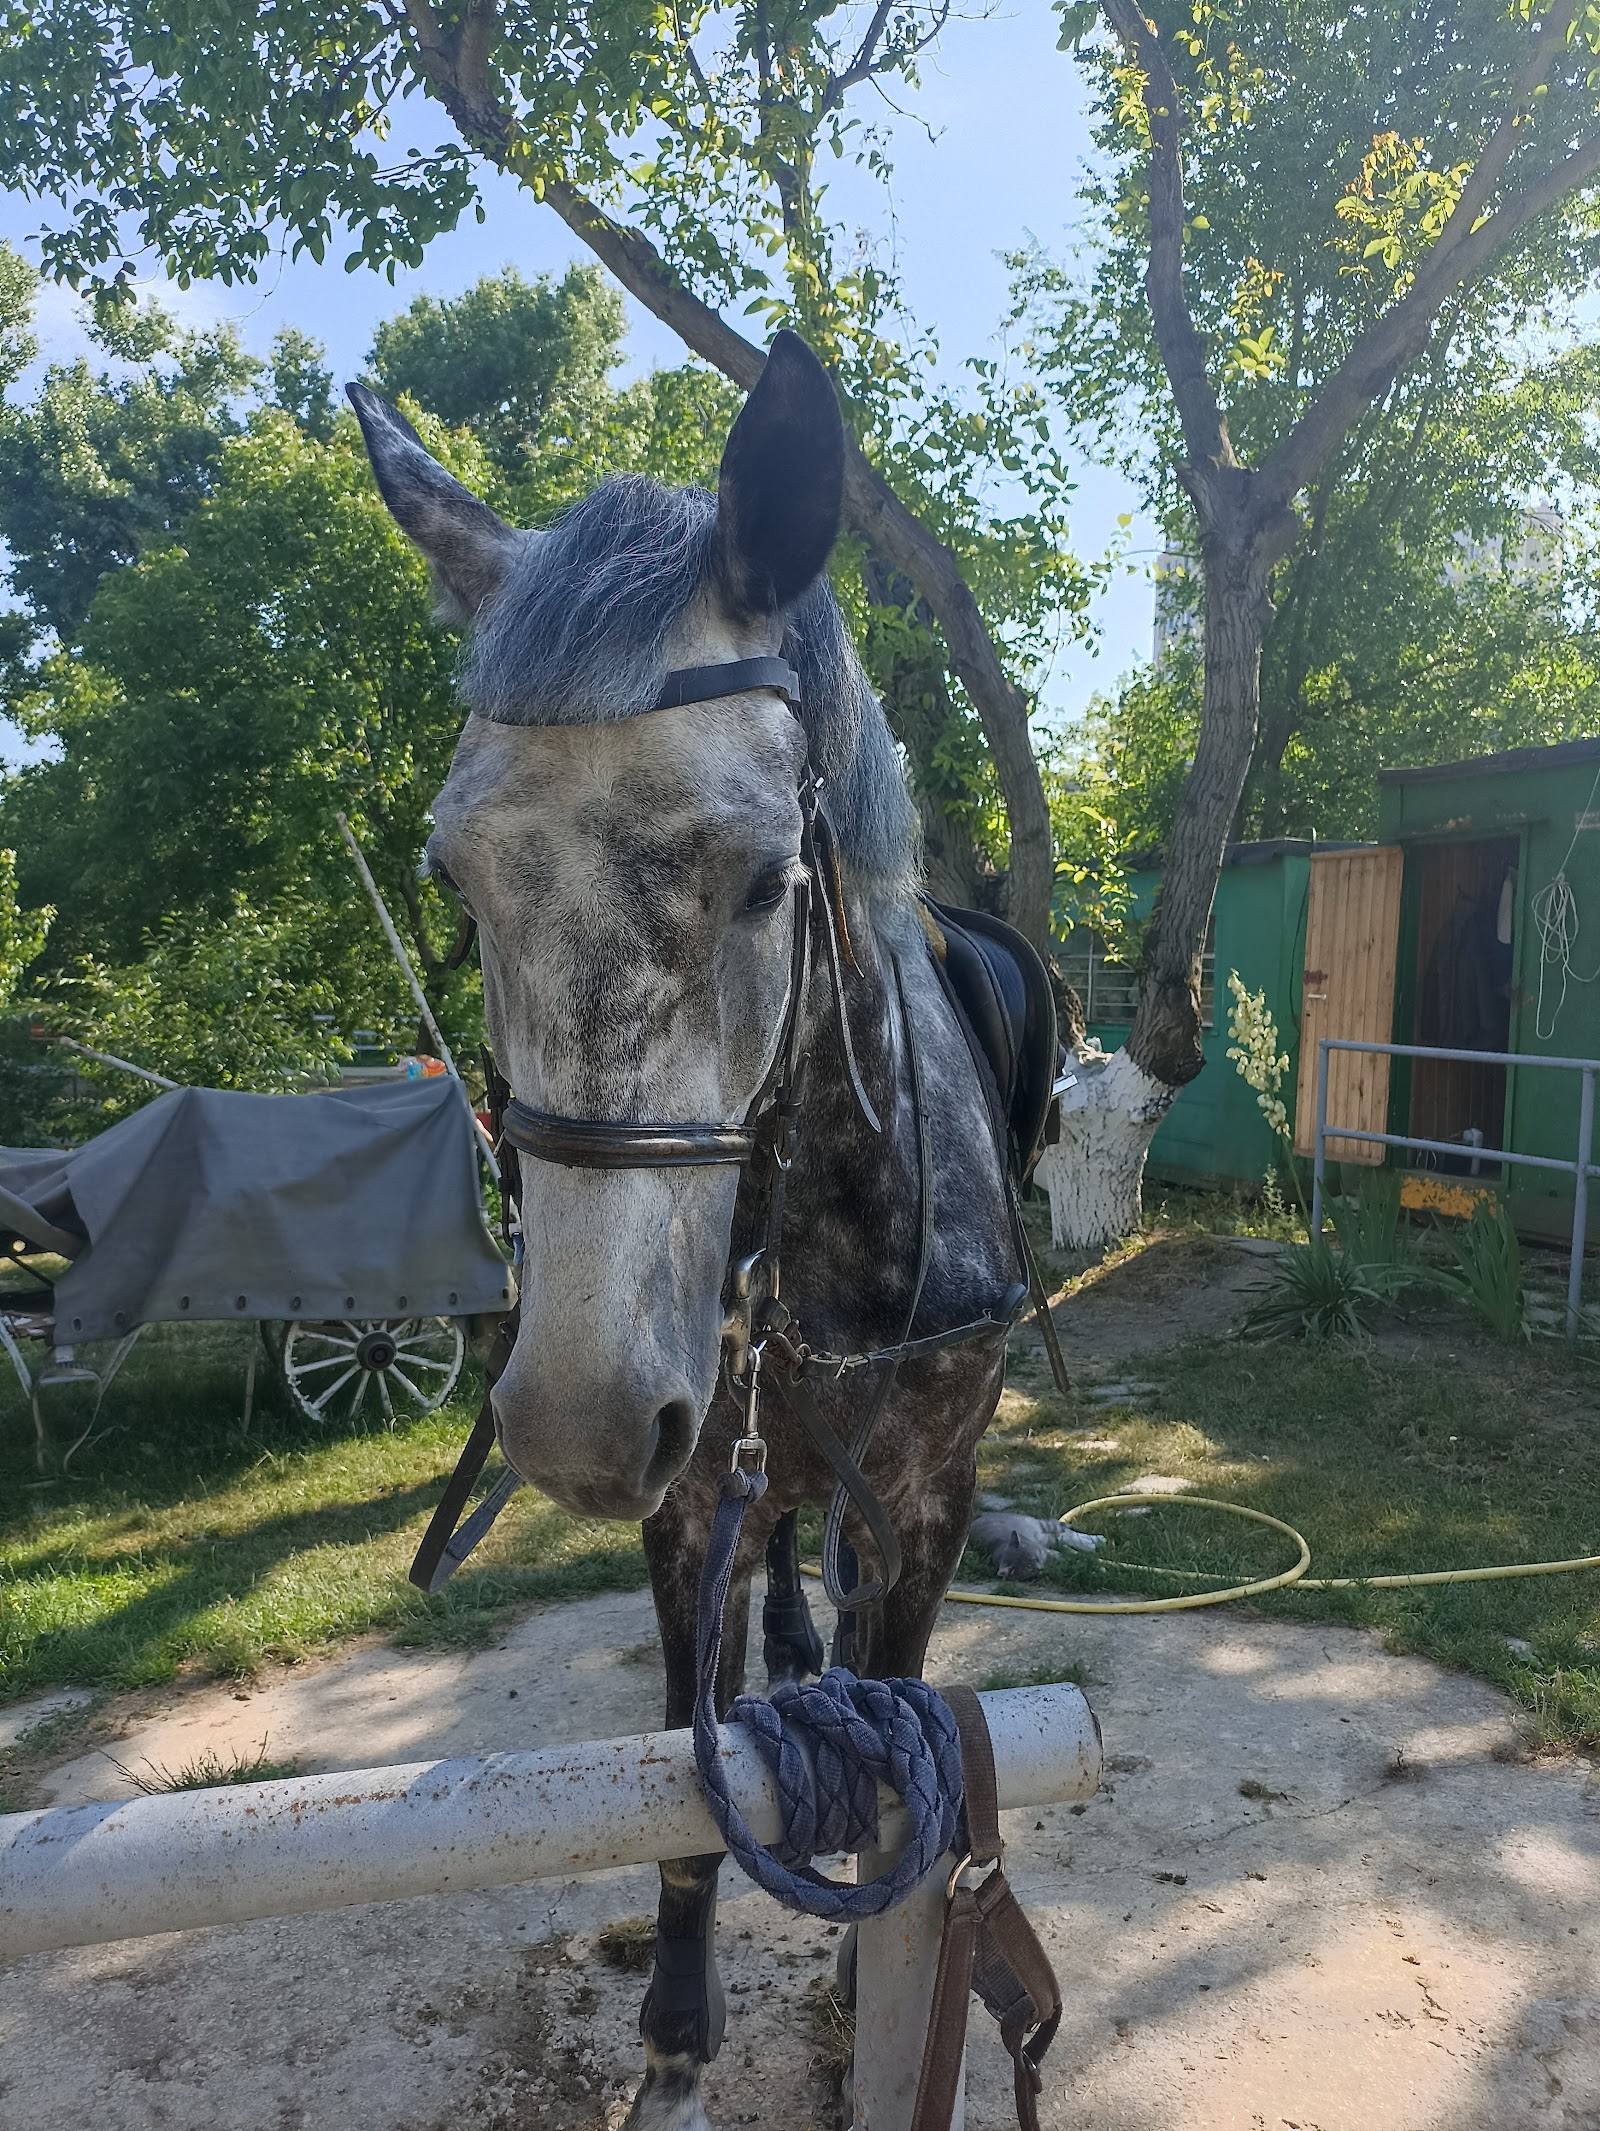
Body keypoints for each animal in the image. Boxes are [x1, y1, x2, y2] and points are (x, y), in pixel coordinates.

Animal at [350, 330, 1036, 2131]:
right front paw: (673, 2034)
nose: (576, 1419)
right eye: (457, 877)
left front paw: (871, 1987)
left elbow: (903, 1719)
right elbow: (683, 1770)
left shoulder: (933, 1495)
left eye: (764, 878)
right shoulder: (683, 1502)